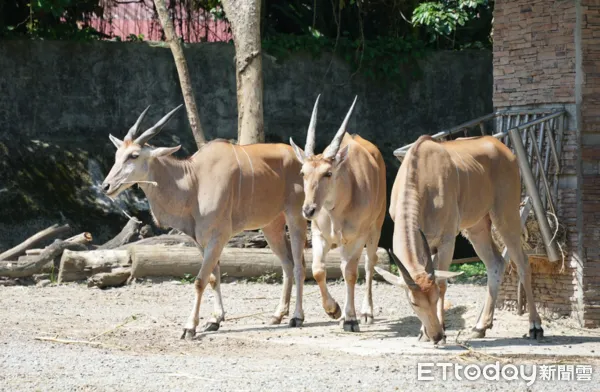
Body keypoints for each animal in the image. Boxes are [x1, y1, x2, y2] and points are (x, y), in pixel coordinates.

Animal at [101, 105, 308, 340]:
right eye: (117, 155)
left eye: (133, 155)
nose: (106, 186)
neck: (193, 181)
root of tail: (301, 158)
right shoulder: (200, 240)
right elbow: (212, 277)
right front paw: (214, 320)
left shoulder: (219, 236)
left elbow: (200, 280)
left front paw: (189, 327)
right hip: (271, 225)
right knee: (287, 264)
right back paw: (277, 315)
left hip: (296, 216)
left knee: (299, 265)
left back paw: (297, 317)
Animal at [288, 95, 386, 330]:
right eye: (303, 172)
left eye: (328, 173)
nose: (309, 210)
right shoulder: (319, 235)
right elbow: (318, 270)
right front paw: (334, 310)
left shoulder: (358, 237)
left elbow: (351, 272)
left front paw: (350, 319)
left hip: (375, 229)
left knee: (369, 263)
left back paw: (366, 312)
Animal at [378, 134, 548, 344]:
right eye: (413, 303)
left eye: (435, 298)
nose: (435, 335)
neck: (421, 177)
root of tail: (503, 149)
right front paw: (423, 333)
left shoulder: (447, 240)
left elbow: (442, 283)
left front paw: (441, 331)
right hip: (476, 228)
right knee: (496, 263)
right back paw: (480, 327)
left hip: (505, 216)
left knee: (523, 262)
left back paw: (535, 326)